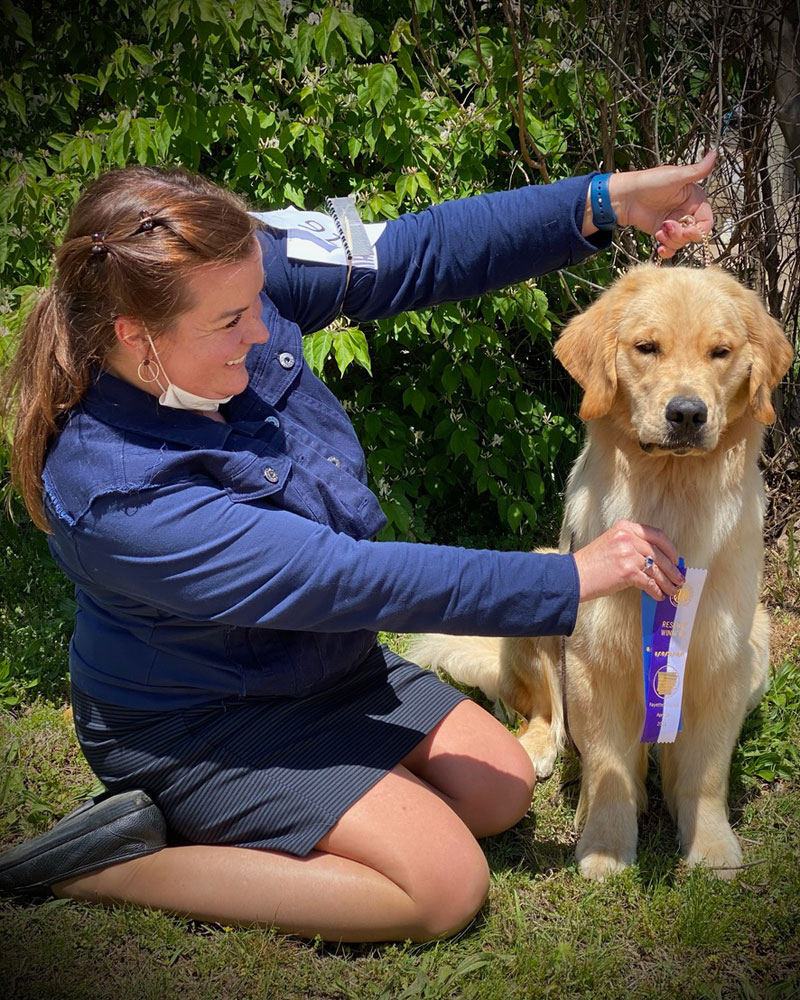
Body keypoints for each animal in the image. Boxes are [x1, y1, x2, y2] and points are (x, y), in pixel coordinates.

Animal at [416, 266, 792, 884]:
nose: (687, 414)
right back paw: (535, 750)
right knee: (544, 714)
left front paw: (711, 846)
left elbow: (705, 772)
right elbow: (610, 768)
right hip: (546, 589)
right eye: (646, 348)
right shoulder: (594, 661)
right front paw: (607, 847)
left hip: (757, 639)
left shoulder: (720, 659)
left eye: (721, 352)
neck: (671, 498)